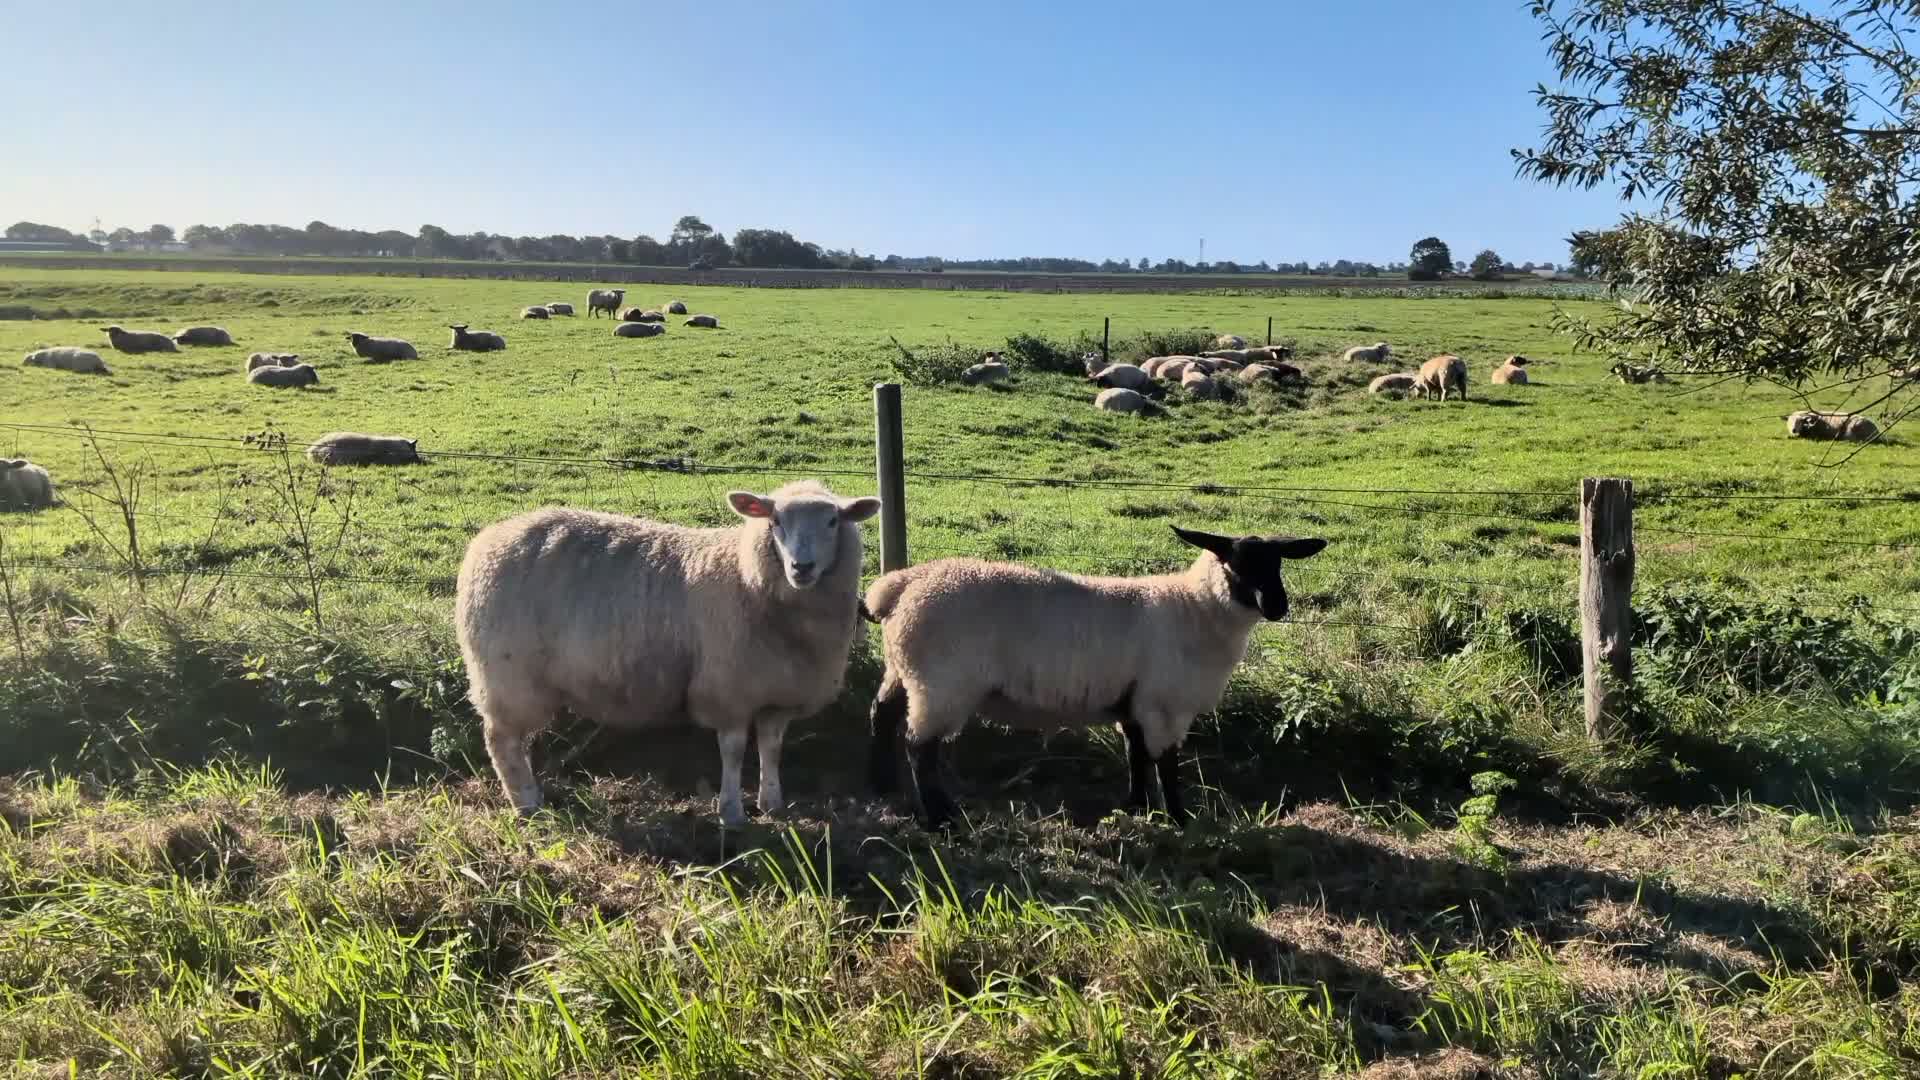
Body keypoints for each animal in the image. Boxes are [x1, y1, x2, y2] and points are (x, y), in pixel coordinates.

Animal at [455, 480, 882, 825]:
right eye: (775, 521)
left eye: (833, 521)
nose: (801, 567)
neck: (747, 577)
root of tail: (486, 542)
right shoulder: (728, 689)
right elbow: (732, 752)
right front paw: (732, 813)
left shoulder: (778, 694)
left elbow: (771, 749)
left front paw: (772, 804)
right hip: (507, 677)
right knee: (501, 740)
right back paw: (527, 803)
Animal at [863, 525, 1328, 827]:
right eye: (1235, 564)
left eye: (1278, 564)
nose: (1277, 606)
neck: (1194, 607)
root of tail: (900, 587)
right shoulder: (1165, 704)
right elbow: (1167, 762)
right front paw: (1178, 818)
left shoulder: (1135, 702)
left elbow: (1136, 755)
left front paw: (1137, 809)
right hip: (941, 684)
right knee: (919, 746)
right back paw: (939, 817)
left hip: (904, 669)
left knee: (881, 714)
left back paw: (882, 786)